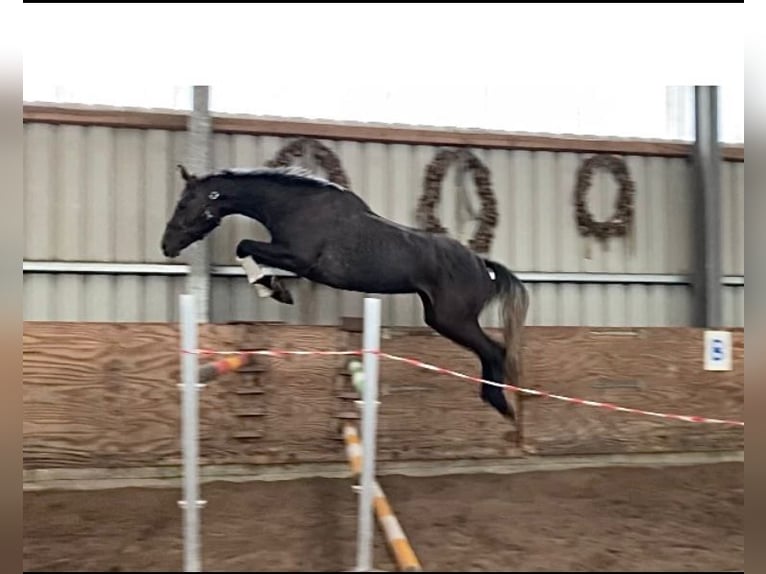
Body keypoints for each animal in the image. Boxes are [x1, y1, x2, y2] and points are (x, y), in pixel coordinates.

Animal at [163, 164, 532, 426]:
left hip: (452, 320)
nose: (166, 246)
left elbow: (244, 246)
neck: (296, 206)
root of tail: (483, 266)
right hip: (442, 318)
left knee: (495, 351)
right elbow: (247, 250)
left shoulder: (299, 259)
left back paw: (502, 406)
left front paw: (273, 289)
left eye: (184, 203)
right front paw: (272, 287)